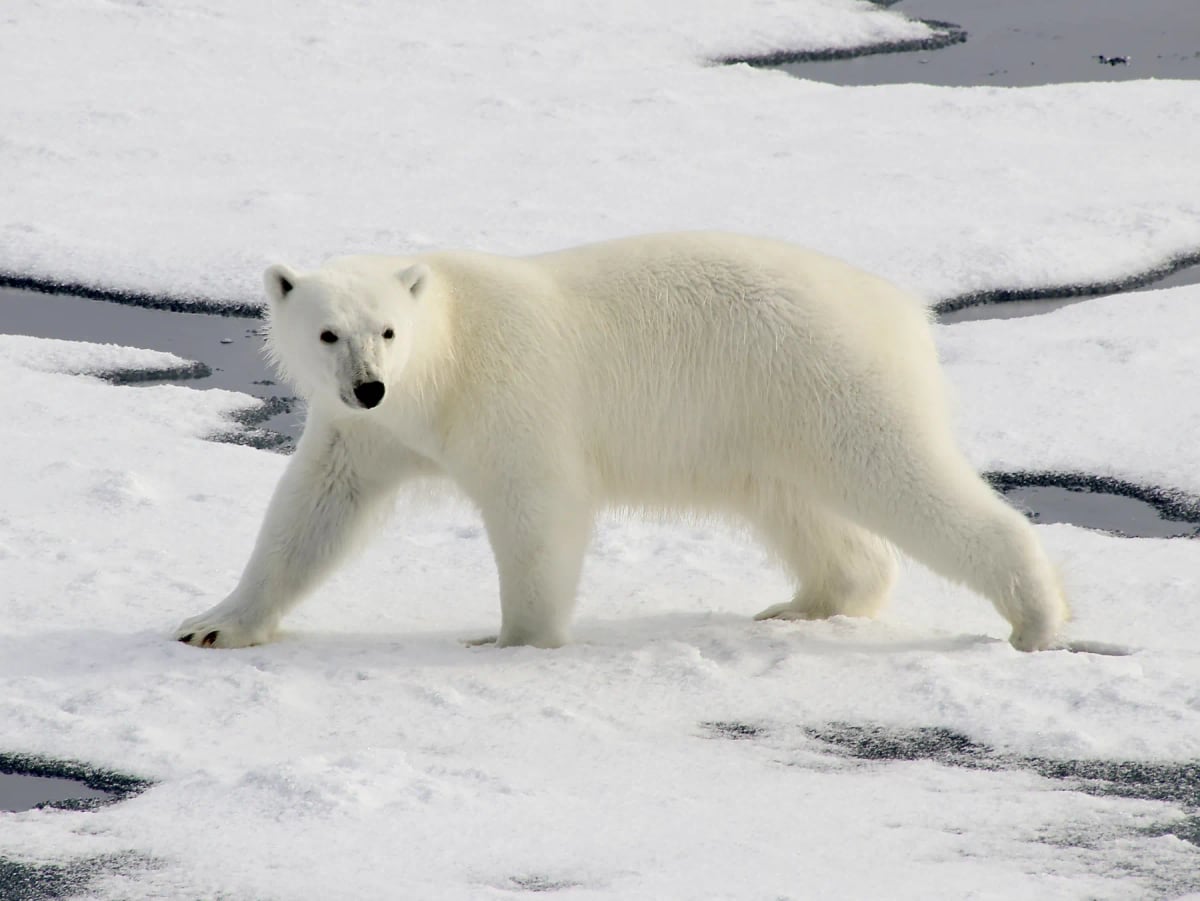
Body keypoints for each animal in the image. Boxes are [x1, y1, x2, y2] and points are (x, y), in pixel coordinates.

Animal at [175, 232, 1068, 652]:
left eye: (388, 330)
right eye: (328, 332)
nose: (368, 383)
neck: (445, 359)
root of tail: (899, 305)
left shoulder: (507, 395)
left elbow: (539, 509)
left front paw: (510, 637)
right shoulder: (367, 433)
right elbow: (312, 511)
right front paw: (214, 623)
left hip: (824, 376)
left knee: (904, 478)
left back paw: (1035, 615)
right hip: (764, 420)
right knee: (802, 510)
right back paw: (800, 603)